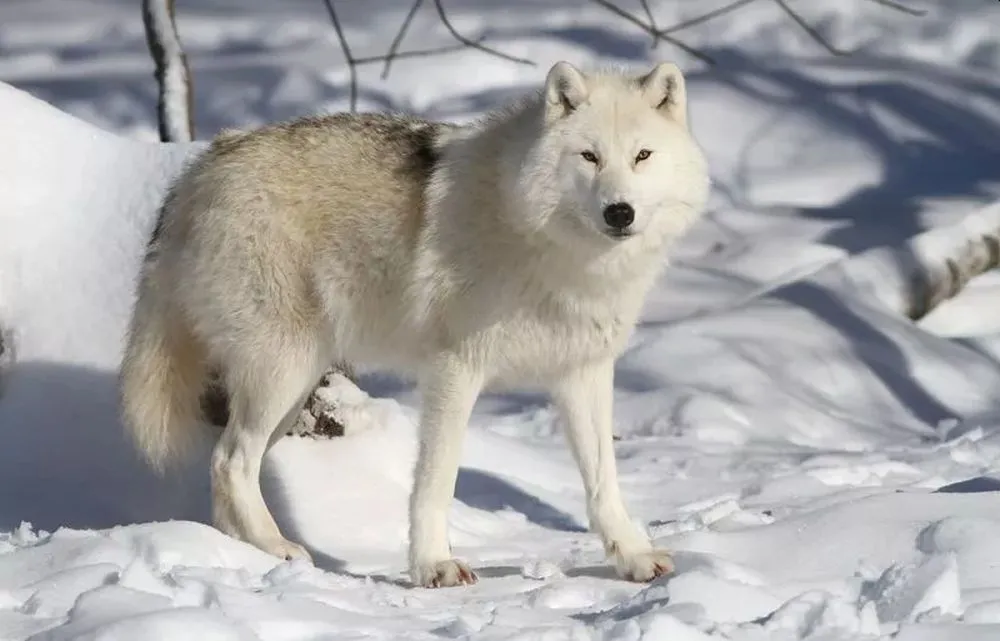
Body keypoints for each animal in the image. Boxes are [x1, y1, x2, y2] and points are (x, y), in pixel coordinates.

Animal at [119, 60, 712, 584]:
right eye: (589, 157)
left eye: (642, 156)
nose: (619, 212)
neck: (550, 247)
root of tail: (204, 163)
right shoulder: (454, 371)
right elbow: (435, 481)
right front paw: (433, 567)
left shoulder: (584, 373)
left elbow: (603, 482)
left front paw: (633, 557)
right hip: (282, 373)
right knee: (230, 460)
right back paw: (278, 549)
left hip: (294, 386)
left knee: (230, 469)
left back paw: (248, 553)